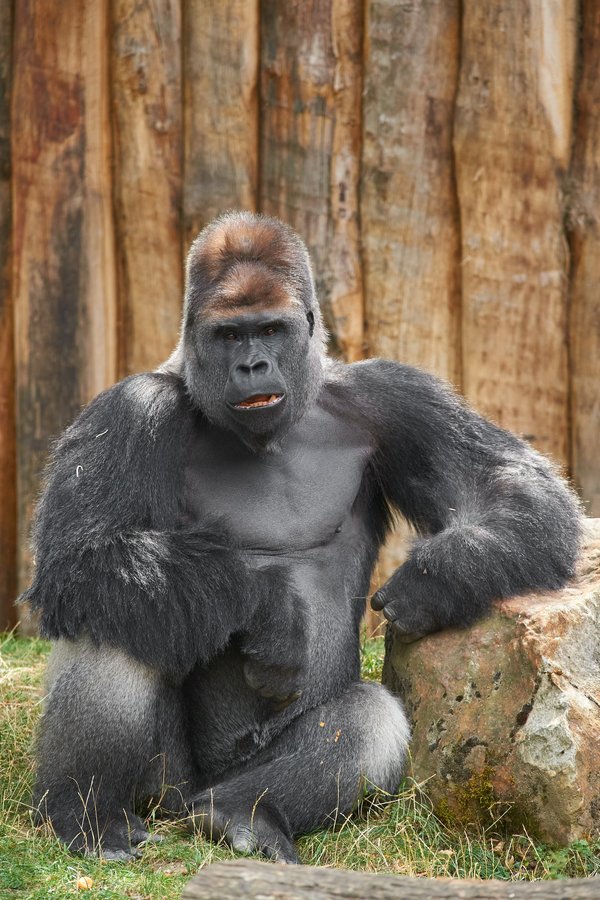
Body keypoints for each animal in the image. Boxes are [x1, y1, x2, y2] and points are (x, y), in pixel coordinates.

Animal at [22, 211, 581, 862]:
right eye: (229, 336)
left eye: (269, 329)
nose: (253, 367)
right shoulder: (130, 409)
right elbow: (78, 559)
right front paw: (268, 610)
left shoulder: (391, 394)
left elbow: (505, 483)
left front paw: (436, 580)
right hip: (165, 788)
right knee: (115, 607)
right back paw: (88, 812)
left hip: (234, 777)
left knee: (368, 721)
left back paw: (243, 813)